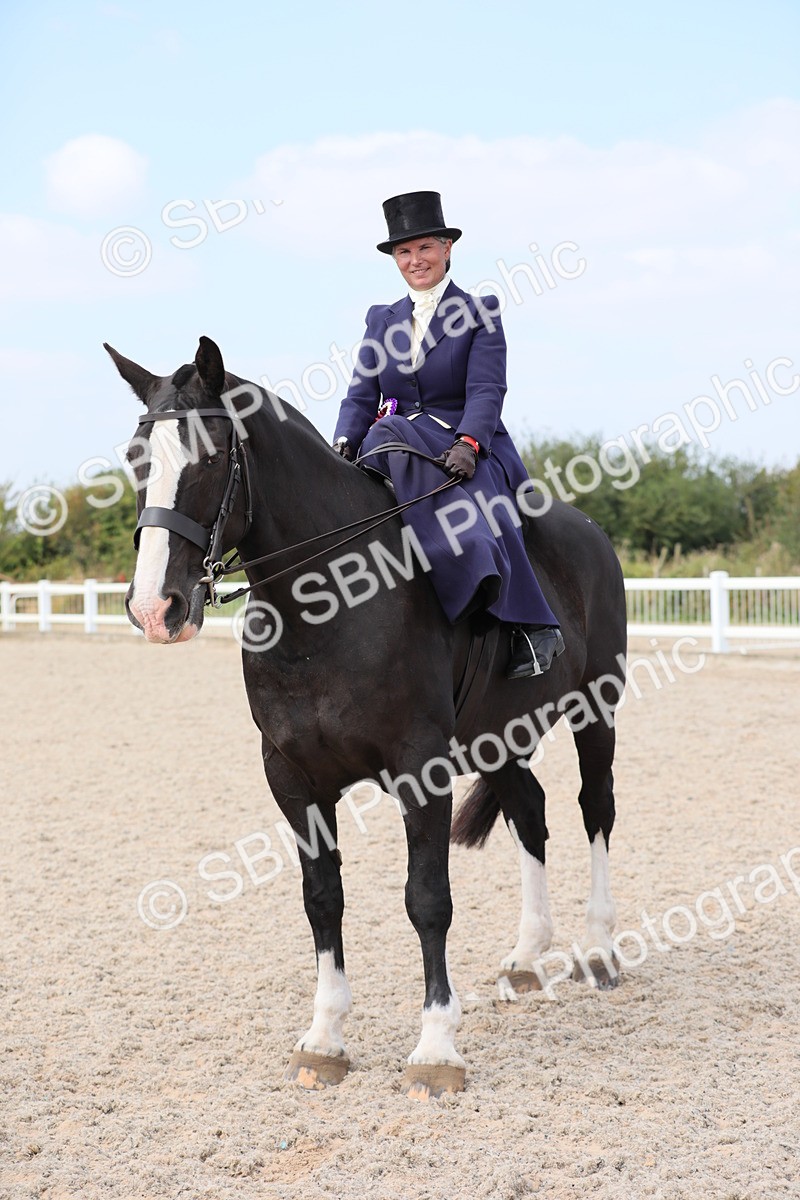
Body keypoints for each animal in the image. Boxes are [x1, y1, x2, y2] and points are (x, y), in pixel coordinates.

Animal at [106, 335, 628, 1101]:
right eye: (136, 456)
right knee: (530, 813)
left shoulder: (421, 767)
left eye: (209, 456)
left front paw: (436, 1048)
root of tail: (587, 529)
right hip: (497, 736)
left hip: (597, 709)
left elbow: (427, 898)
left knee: (596, 808)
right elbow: (322, 898)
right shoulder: (291, 775)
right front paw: (324, 1038)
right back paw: (529, 957)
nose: (154, 608)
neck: (327, 601)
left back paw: (598, 951)